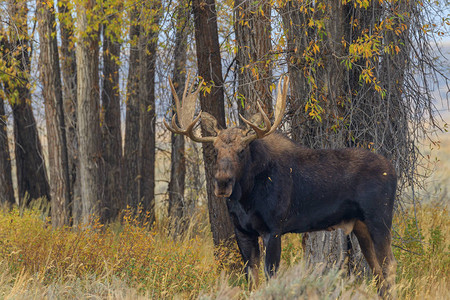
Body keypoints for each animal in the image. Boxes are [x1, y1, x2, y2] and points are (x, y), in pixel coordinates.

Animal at [163, 74, 396, 296]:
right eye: (216, 150)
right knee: (378, 271)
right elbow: (252, 279)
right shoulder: (242, 231)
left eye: (241, 150)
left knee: (389, 266)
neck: (246, 197)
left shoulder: (273, 229)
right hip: (361, 225)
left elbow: (270, 276)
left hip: (379, 218)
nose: (222, 182)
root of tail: (393, 169)